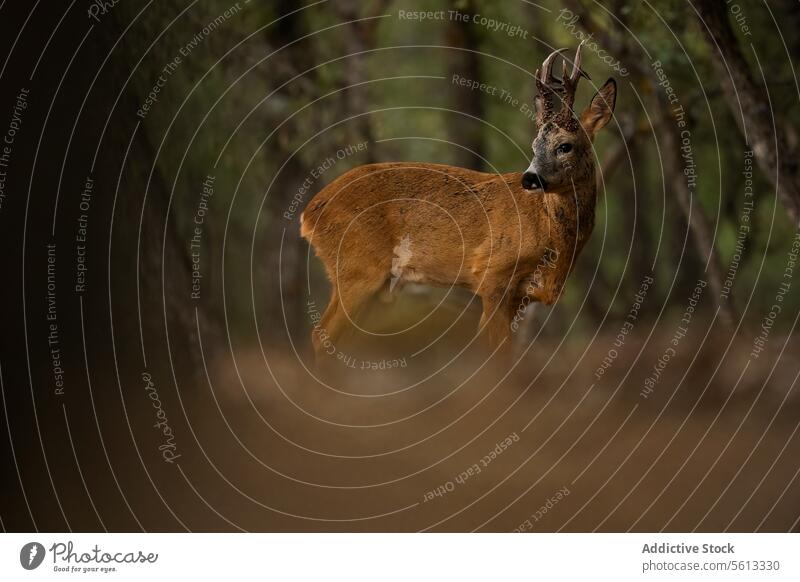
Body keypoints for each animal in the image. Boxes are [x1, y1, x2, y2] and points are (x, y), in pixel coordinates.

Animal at [296, 45, 616, 362]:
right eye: (534, 146)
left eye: (565, 145)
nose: (529, 179)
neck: (550, 239)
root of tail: (309, 213)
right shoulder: (491, 274)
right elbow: (495, 353)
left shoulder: (522, 296)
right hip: (357, 268)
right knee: (320, 336)